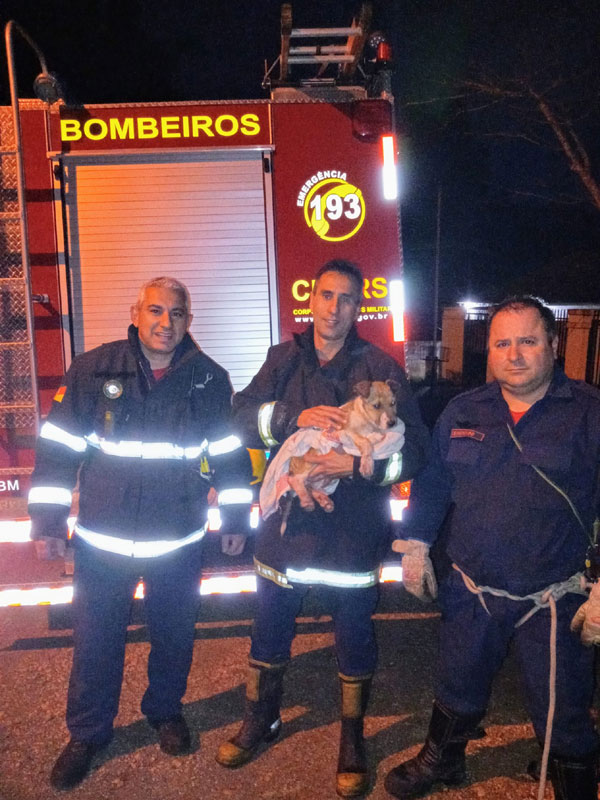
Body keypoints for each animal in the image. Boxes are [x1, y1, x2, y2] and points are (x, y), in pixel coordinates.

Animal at [260, 422, 406, 520]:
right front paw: (375, 439)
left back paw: (325, 502)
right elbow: (364, 441)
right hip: (309, 464)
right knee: (295, 480)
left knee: (311, 488)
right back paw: (308, 502)